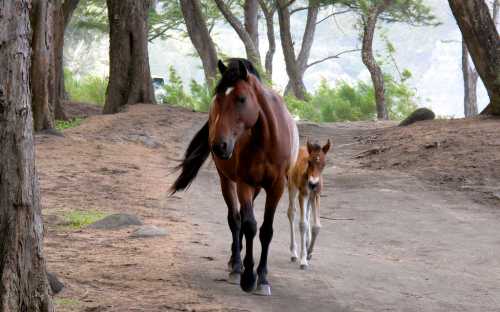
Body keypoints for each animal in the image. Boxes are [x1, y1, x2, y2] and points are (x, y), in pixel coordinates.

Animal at [170, 59, 298, 298]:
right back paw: (236, 264)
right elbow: (248, 225)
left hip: (256, 187)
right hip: (227, 182)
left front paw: (263, 278)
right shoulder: (244, 184)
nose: (219, 145)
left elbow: (266, 231)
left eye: (241, 98)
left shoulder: (276, 187)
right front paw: (248, 276)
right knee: (235, 218)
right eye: (218, 97)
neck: (266, 140)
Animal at [288, 140, 330, 270]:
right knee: (291, 212)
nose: (312, 184)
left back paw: (307, 244)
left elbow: (316, 226)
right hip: (292, 186)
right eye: (309, 162)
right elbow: (303, 224)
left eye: (324, 163)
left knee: (307, 213)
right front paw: (303, 260)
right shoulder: (303, 195)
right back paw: (293, 253)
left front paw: (309, 252)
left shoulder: (316, 195)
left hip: (311, 197)